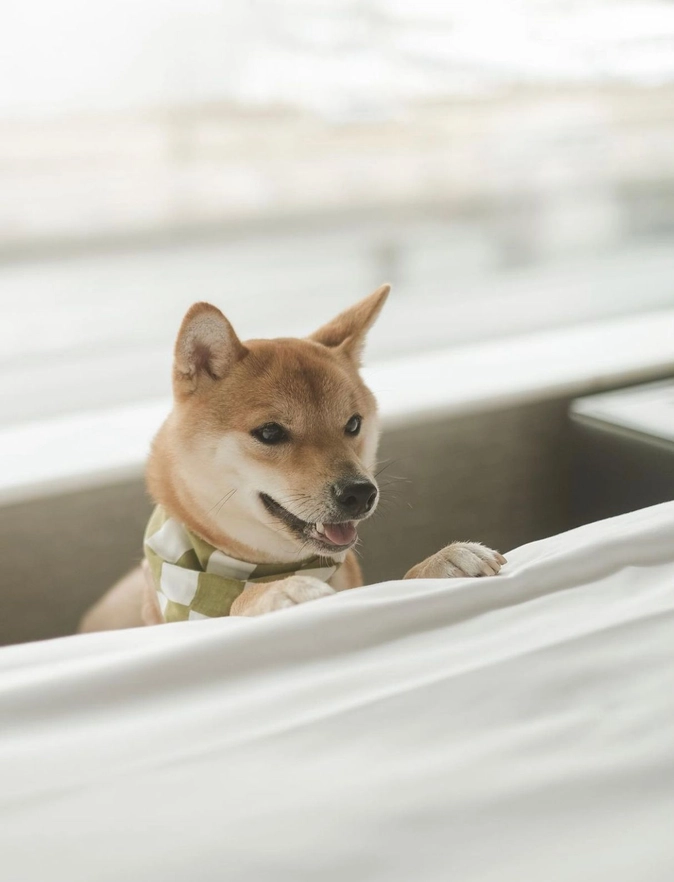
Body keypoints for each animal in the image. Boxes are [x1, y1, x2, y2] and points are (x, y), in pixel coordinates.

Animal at [79, 286, 504, 628]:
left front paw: (442, 562)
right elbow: (238, 600)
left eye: (353, 424)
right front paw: (282, 591)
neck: (264, 565)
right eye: (270, 432)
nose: (360, 493)